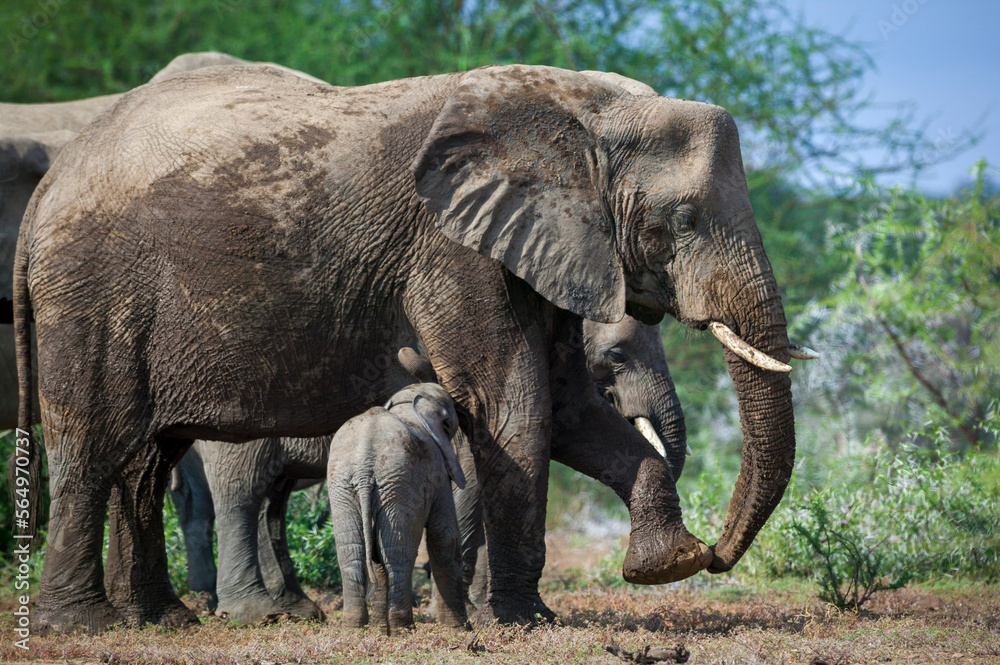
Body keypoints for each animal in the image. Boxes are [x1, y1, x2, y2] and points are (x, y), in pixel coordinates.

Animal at [329, 382, 468, 634]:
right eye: (451, 421)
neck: (409, 404)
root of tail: (364, 467)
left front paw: (379, 629)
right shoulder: (438, 470)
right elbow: (444, 537)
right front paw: (461, 629)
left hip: (343, 484)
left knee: (351, 552)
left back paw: (354, 629)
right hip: (401, 481)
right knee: (397, 553)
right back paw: (404, 629)